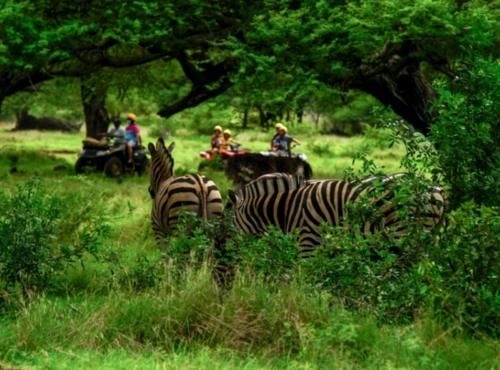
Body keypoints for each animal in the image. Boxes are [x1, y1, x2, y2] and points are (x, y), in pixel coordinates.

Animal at [229, 172, 448, 256]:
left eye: (231, 222)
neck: (287, 208)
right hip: (428, 234)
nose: (229, 250)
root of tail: (433, 188)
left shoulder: (307, 241)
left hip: (403, 232)